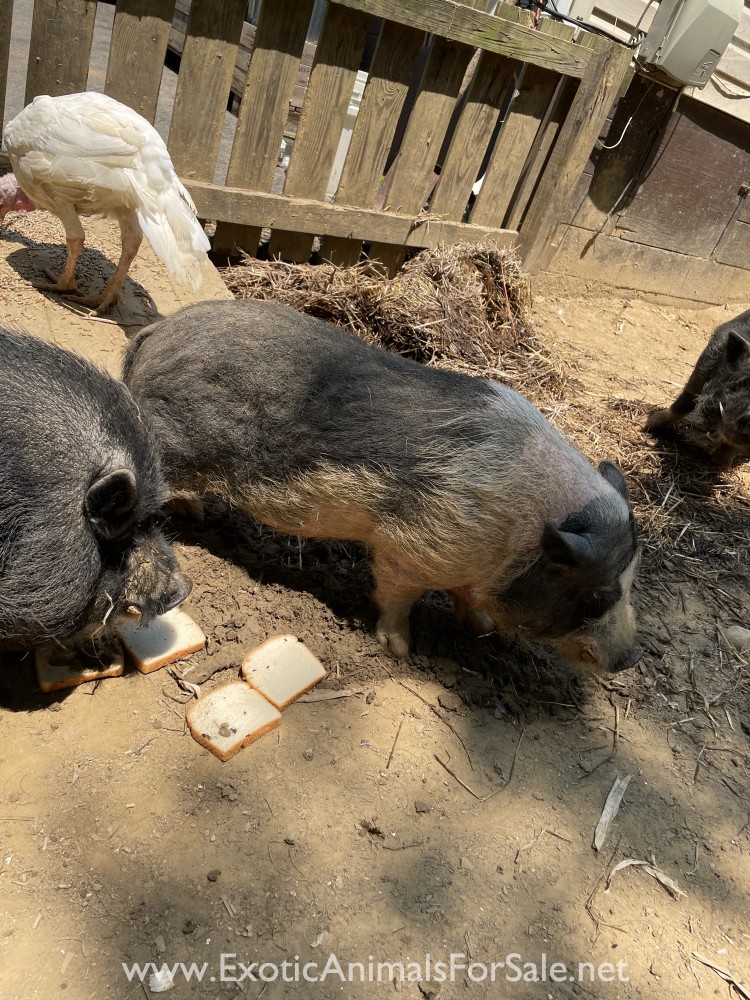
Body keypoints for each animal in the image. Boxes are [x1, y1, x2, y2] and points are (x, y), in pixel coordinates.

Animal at [123, 300, 641, 672]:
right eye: (597, 596)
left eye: (630, 582)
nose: (630, 658)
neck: (519, 533)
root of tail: (156, 332)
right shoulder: (412, 544)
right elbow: (397, 596)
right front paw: (401, 652)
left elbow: (466, 597)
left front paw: (482, 628)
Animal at [646, 308, 750, 468]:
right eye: (744, 382)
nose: (749, 416)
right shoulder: (704, 364)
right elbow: (683, 403)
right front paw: (641, 426)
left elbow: (729, 446)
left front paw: (719, 465)